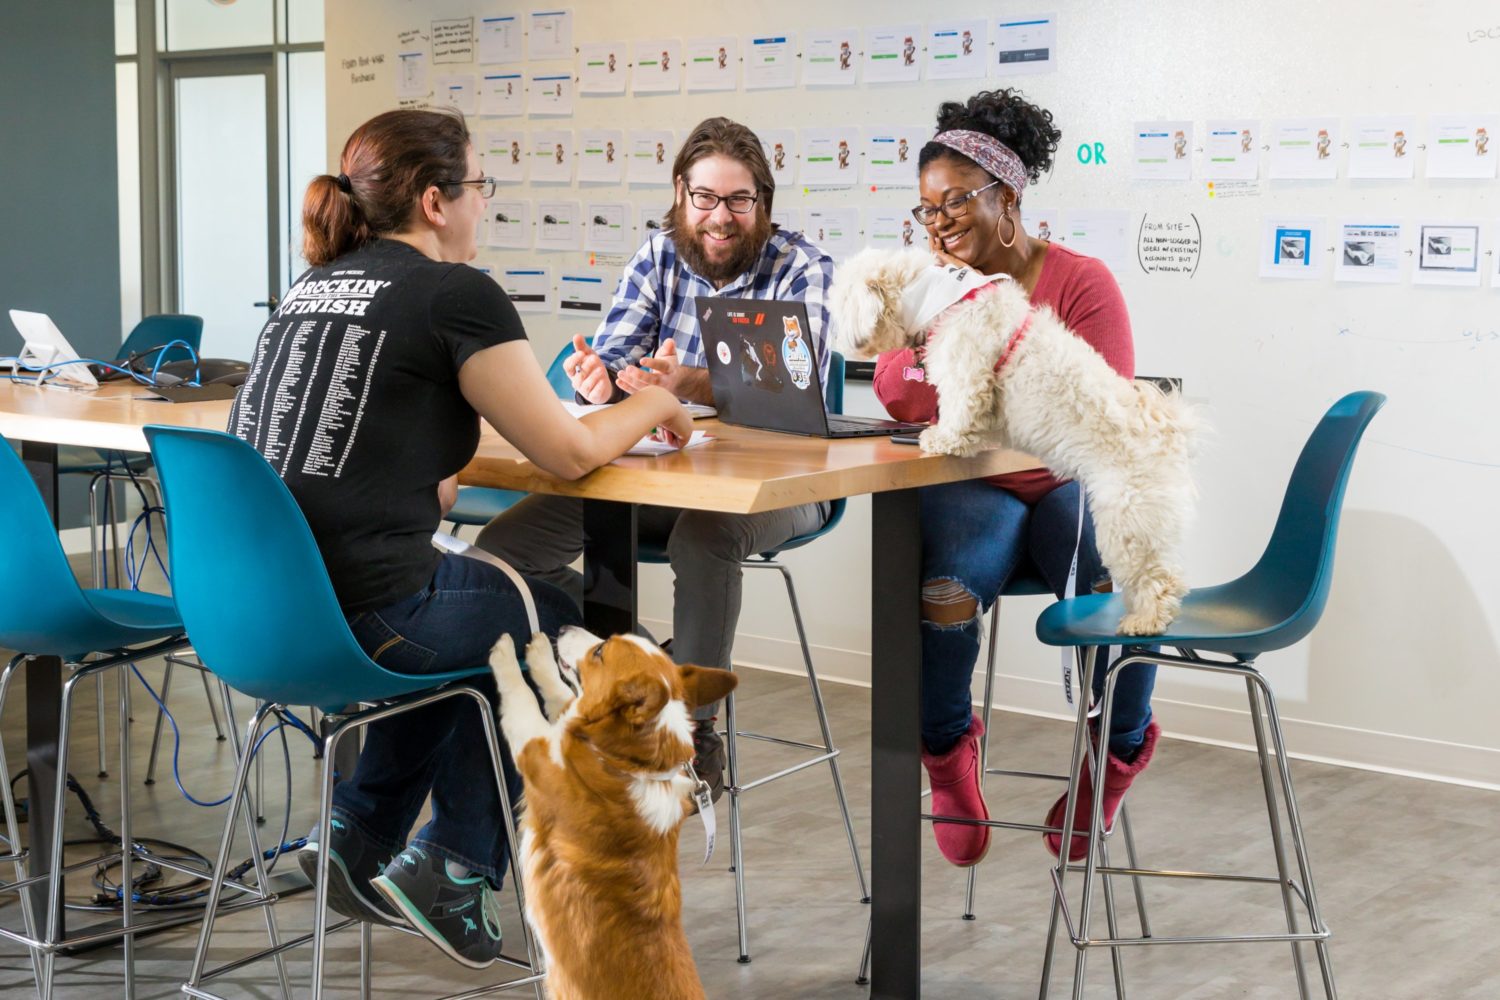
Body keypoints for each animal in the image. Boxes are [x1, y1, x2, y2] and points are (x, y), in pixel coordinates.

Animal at [834, 248, 1194, 632]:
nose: (836, 334)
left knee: (1159, 577)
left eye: (841, 301)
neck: (938, 295)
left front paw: (942, 438)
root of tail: (1168, 433)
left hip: (1126, 520)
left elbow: (959, 408)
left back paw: (1145, 619)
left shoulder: (965, 370)